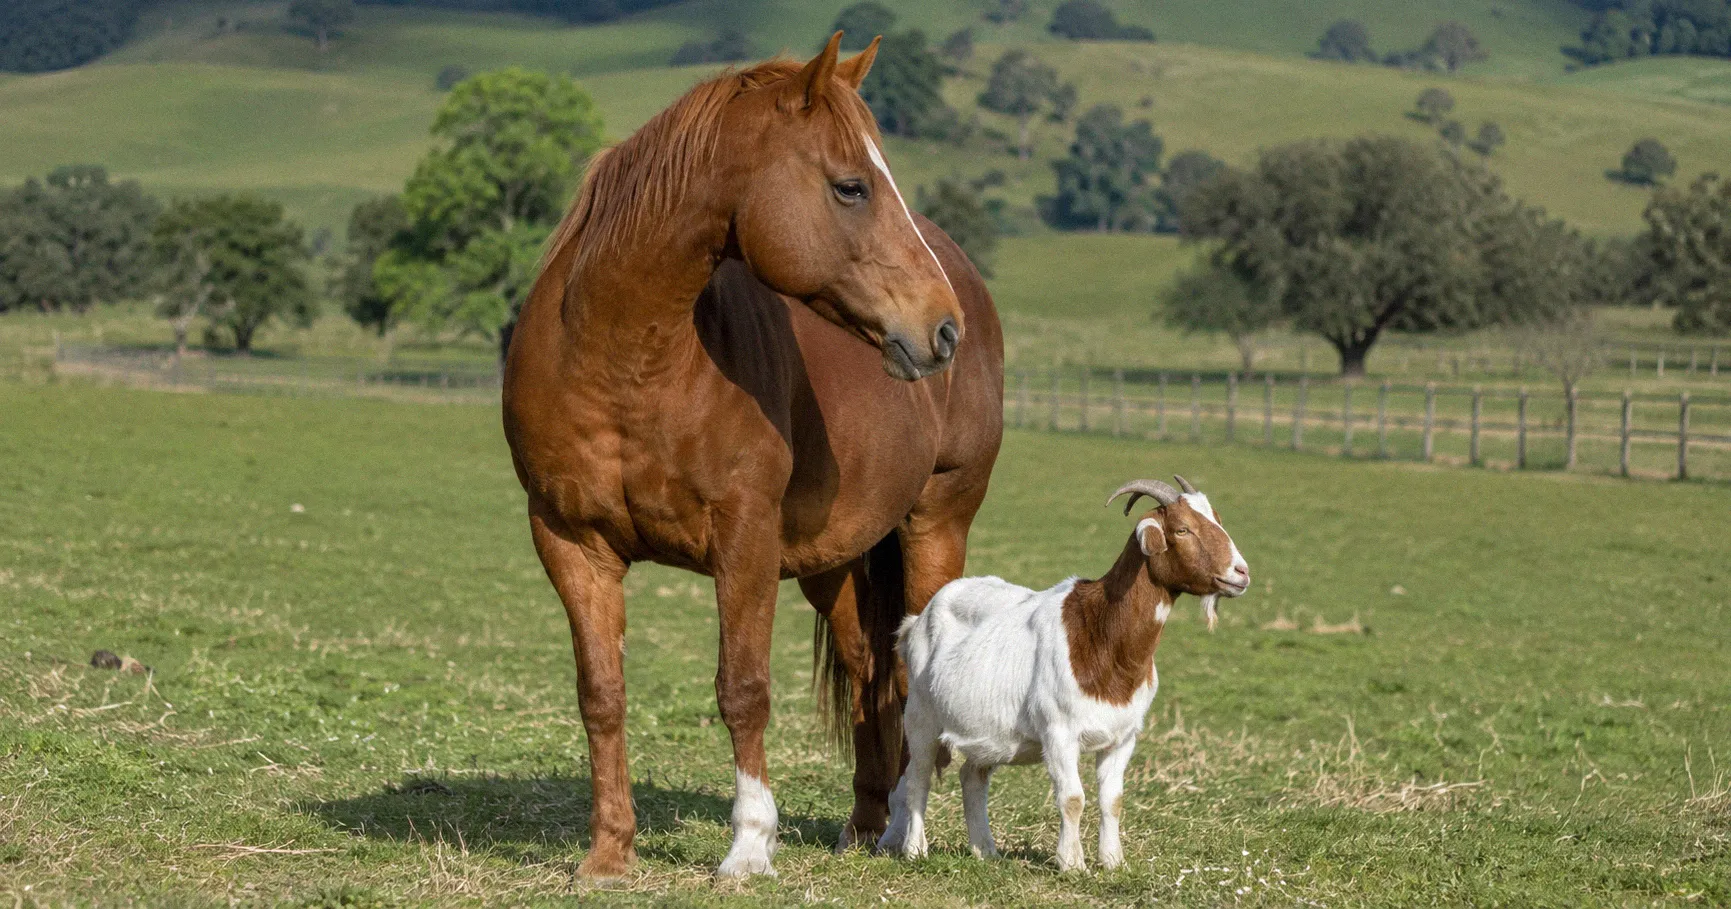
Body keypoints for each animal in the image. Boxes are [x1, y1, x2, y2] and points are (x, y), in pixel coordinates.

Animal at [501, 35, 1004, 879]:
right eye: (849, 185)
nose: (941, 328)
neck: (627, 361)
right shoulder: (570, 542)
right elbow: (600, 692)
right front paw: (608, 851)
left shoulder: (744, 539)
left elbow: (742, 688)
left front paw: (747, 846)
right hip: (835, 559)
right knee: (869, 669)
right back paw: (865, 821)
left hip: (934, 527)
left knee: (913, 678)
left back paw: (905, 830)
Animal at [878, 476, 1249, 872]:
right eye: (1182, 529)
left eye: (1218, 520)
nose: (1241, 573)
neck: (1101, 633)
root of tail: (917, 621)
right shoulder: (1059, 731)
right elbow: (1072, 798)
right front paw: (1072, 864)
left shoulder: (1124, 736)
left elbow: (1113, 800)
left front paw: (1112, 862)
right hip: (920, 714)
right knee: (917, 779)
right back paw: (915, 850)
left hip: (985, 728)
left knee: (972, 777)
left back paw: (985, 850)